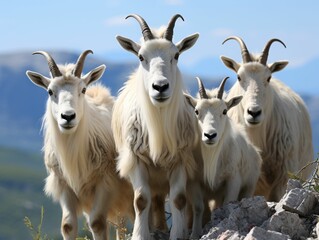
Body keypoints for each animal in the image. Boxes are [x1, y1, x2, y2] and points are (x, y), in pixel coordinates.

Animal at [26, 51, 134, 240]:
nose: (68, 116)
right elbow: (68, 225)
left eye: (83, 89)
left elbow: (97, 223)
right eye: (50, 91)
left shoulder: (105, 182)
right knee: (121, 225)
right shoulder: (64, 185)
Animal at [112, 14, 200, 239]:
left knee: (160, 199)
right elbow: (141, 200)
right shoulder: (136, 159)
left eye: (176, 55)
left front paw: (177, 234)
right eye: (141, 57)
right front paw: (140, 235)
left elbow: (178, 199)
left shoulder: (180, 159)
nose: (160, 87)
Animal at [185, 77, 262, 208]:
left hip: (249, 186)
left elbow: (228, 202)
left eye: (225, 111)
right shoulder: (194, 181)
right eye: (196, 111)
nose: (210, 135)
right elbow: (199, 207)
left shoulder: (233, 180)